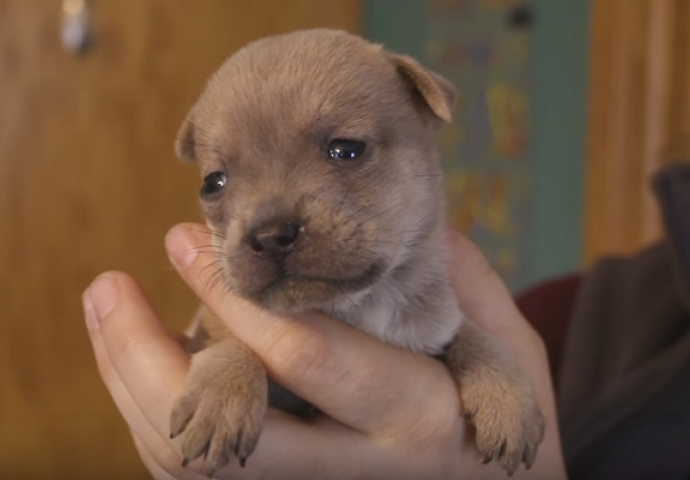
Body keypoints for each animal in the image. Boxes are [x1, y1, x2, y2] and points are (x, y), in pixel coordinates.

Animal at [169, 30, 540, 476]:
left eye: (346, 149)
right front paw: (222, 392)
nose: (271, 235)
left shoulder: (435, 325)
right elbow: (231, 339)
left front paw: (508, 396)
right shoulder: (209, 327)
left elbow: (473, 334)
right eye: (213, 184)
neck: (359, 305)